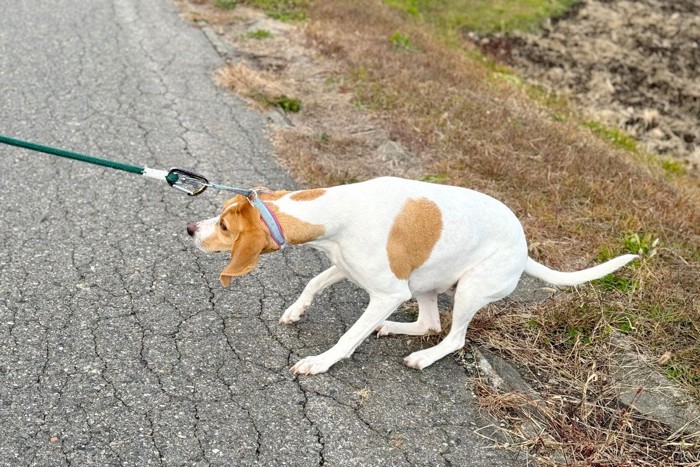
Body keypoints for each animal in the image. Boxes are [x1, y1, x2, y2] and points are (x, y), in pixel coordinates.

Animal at [187, 176, 640, 376]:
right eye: (220, 216)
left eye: (224, 226)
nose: (191, 229)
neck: (336, 211)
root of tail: (525, 248)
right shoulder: (345, 266)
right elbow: (313, 282)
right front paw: (297, 311)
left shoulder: (388, 292)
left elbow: (348, 337)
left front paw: (321, 361)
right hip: (424, 282)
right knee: (429, 323)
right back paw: (391, 328)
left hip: (469, 288)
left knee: (453, 337)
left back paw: (422, 355)